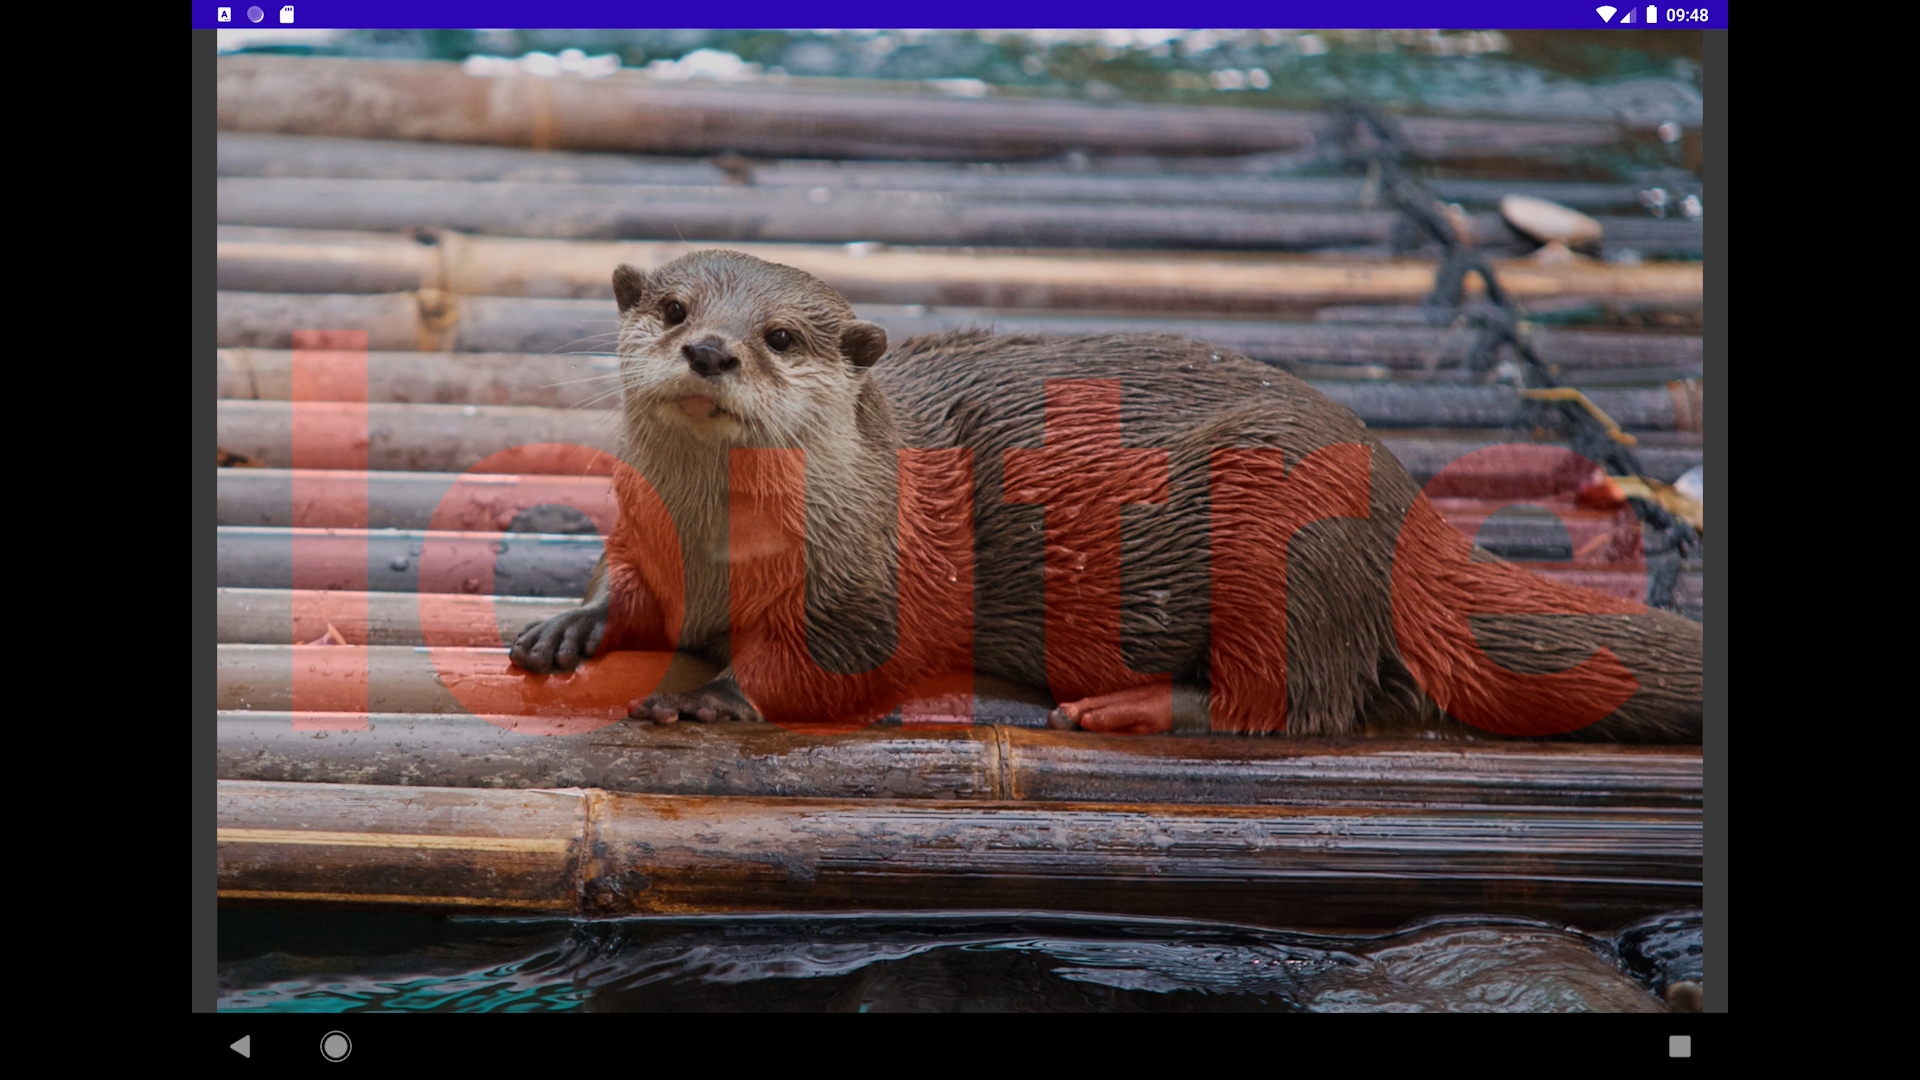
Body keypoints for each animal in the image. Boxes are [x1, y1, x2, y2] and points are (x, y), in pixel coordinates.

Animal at [510, 247, 1712, 734]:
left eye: (781, 337)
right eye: (671, 308)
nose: (711, 349)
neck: (719, 551)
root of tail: (1410, 508)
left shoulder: (879, 590)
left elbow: (834, 665)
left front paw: (712, 695)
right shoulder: (651, 537)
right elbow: (627, 584)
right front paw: (573, 625)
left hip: (1282, 523)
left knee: (1300, 700)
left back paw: (1129, 705)